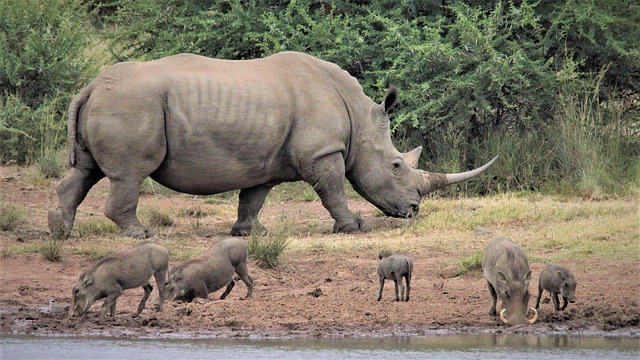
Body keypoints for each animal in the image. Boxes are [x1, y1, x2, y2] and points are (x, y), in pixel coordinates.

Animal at [51, 50, 500, 236]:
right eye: (396, 165)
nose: (413, 211)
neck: (358, 118)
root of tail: (90, 86)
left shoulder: (263, 158)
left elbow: (254, 196)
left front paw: (249, 233)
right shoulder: (322, 151)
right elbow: (333, 189)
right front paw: (352, 228)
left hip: (113, 102)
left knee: (86, 171)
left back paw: (59, 232)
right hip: (130, 105)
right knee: (128, 174)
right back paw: (139, 235)